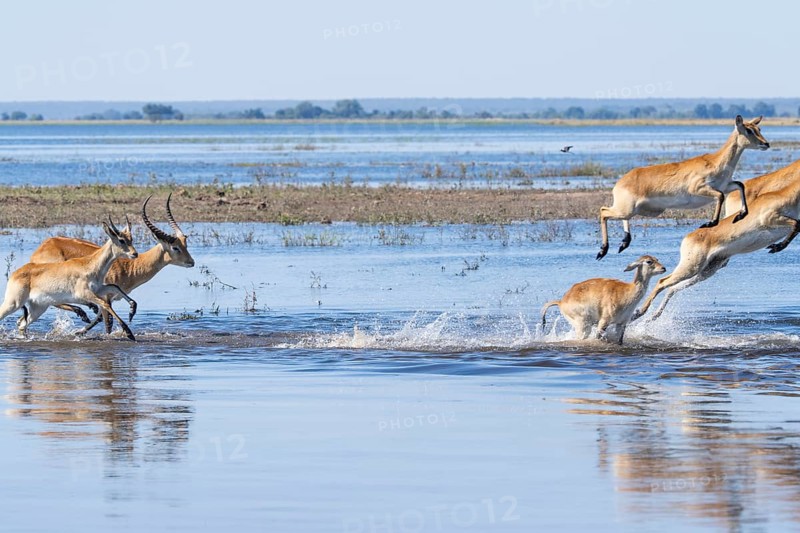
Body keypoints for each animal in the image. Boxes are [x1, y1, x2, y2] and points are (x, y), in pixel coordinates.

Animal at [0, 217, 139, 339]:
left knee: (22, 325)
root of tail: (14, 273)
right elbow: (105, 304)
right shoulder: (85, 294)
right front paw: (129, 333)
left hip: (37, 308)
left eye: (131, 239)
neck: (90, 265)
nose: (135, 254)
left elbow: (114, 287)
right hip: (14, 303)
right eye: (121, 239)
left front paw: (132, 310)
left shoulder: (98, 289)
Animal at [29, 194, 195, 333]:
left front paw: (80, 331)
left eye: (185, 243)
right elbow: (107, 322)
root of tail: (41, 249)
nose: (191, 262)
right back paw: (82, 312)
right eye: (175, 247)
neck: (129, 267)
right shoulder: (106, 296)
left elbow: (102, 319)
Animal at [597, 115, 770, 260]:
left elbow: (740, 185)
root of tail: (620, 183)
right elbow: (720, 196)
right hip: (626, 209)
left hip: (637, 210)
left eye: (759, 128)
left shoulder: (726, 185)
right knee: (603, 211)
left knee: (617, 215)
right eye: (748, 130)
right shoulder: (699, 188)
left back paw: (624, 243)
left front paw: (740, 215)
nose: (766, 144)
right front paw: (710, 223)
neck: (715, 162)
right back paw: (603, 250)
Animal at [633, 168, 800, 321]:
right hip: (691, 267)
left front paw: (777, 246)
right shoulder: (770, 219)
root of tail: (688, 237)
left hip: (707, 270)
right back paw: (639, 312)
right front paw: (777, 247)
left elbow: (797, 225)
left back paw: (653, 316)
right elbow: (796, 224)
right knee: (662, 282)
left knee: (672, 288)